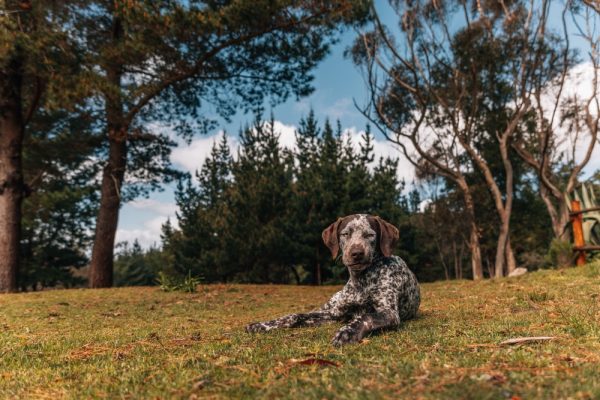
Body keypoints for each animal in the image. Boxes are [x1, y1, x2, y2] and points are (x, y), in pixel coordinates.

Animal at [243, 214, 418, 346]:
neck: (360, 280)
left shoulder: (389, 313)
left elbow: (365, 317)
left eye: (370, 235)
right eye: (345, 234)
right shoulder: (334, 314)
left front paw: (347, 332)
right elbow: (295, 316)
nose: (357, 253)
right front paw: (262, 325)